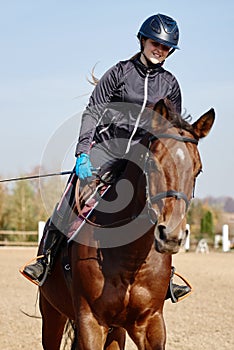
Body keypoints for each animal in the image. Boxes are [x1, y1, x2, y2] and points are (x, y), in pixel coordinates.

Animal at [38, 100, 214, 348]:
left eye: (197, 169)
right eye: (153, 163)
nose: (170, 236)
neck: (131, 259)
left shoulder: (150, 323)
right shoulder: (90, 322)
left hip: (116, 330)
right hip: (52, 315)